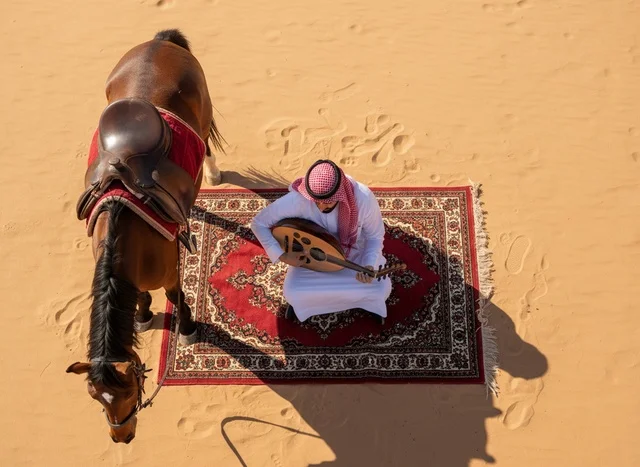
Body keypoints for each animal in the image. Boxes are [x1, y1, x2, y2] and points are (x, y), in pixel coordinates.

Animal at [65, 29, 224, 444]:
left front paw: (187, 328)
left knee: (208, 146)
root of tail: (160, 42)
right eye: (95, 397)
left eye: (129, 390)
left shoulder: (169, 271)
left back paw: (214, 175)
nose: (121, 436)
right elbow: (140, 297)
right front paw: (142, 315)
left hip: (204, 117)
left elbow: (175, 294)